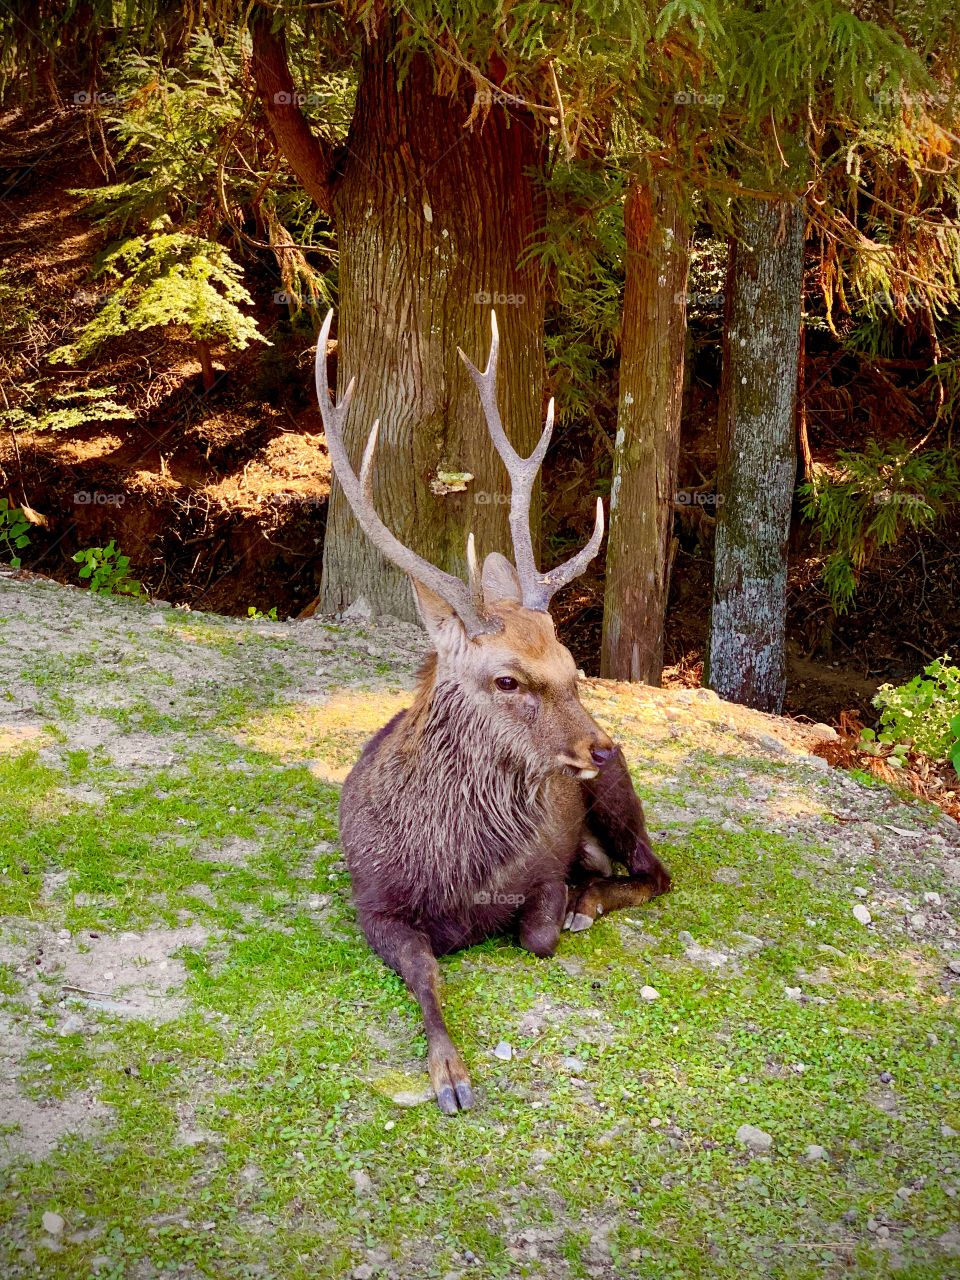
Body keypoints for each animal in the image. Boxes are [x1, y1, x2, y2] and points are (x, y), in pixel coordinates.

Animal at [315, 310, 671, 1114]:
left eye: (573, 667)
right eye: (508, 680)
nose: (602, 747)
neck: (455, 870)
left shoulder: (537, 878)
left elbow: (539, 932)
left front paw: (572, 896)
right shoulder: (371, 902)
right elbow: (426, 974)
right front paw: (450, 1074)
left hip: (622, 803)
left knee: (655, 870)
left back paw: (592, 894)